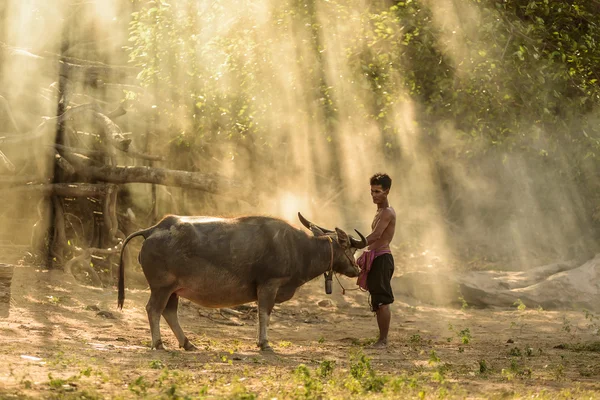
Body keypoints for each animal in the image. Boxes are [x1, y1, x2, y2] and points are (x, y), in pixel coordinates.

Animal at [117, 212, 366, 350]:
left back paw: (187, 343)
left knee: (169, 312)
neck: (299, 248)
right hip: (161, 287)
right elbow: (264, 313)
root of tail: (153, 229)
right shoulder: (269, 284)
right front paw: (264, 343)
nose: (357, 268)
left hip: (174, 289)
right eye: (349, 247)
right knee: (153, 309)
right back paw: (158, 344)